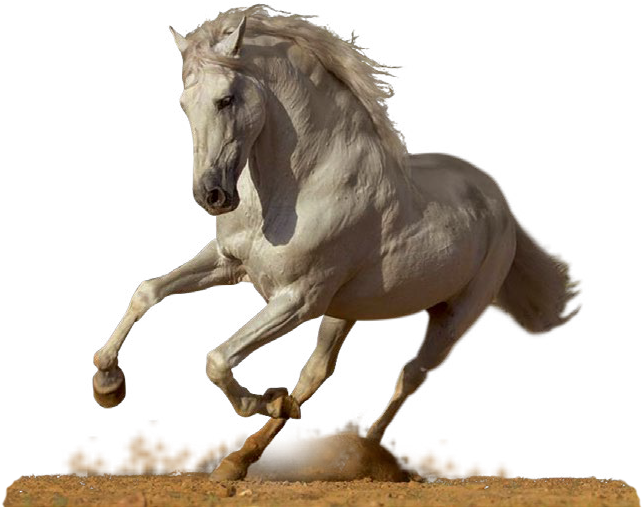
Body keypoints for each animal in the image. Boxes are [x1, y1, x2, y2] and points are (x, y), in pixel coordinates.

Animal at [92, 6, 582, 481]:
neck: (300, 186)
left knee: (410, 375)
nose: (211, 195)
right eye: (184, 104)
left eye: (225, 99)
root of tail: (496, 199)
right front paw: (108, 383)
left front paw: (261, 399)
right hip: (344, 310)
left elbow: (217, 359)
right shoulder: (229, 262)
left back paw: (364, 449)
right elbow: (148, 291)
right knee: (315, 374)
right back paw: (240, 459)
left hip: (454, 316)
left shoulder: (297, 299)